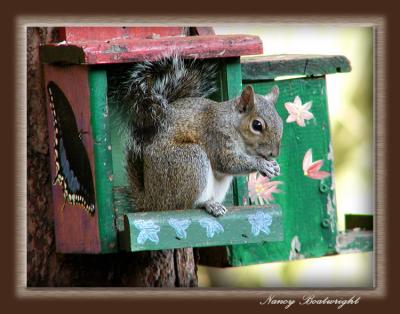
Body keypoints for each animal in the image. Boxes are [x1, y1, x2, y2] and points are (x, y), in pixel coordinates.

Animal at [108, 55, 282, 217]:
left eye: (280, 122)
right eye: (257, 125)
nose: (274, 153)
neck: (233, 124)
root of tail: (151, 202)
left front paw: (273, 165)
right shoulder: (216, 136)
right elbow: (227, 162)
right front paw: (262, 164)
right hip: (190, 161)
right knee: (187, 204)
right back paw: (208, 204)